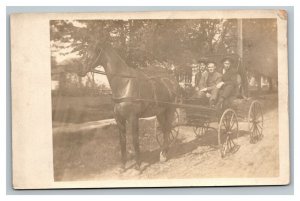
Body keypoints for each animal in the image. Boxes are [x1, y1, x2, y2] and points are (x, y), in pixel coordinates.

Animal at [78, 42, 179, 171]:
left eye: (95, 50)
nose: (79, 69)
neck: (124, 84)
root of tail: (171, 80)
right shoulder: (119, 119)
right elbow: (122, 141)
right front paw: (123, 166)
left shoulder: (133, 118)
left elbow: (135, 140)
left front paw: (138, 166)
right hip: (160, 112)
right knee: (165, 129)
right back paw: (163, 153)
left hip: (170, 109)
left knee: (168, 129)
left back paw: (164, 154)